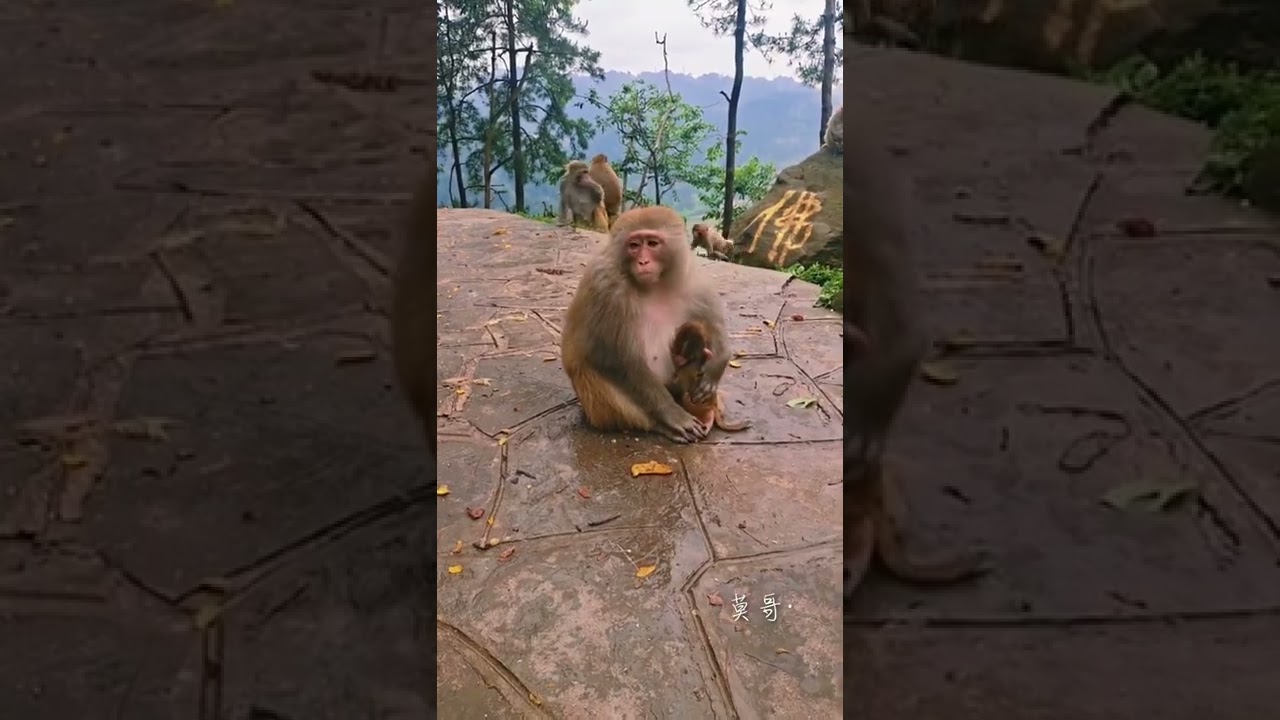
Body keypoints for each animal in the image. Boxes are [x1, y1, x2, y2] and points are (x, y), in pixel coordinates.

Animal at [560, 206, 730, 443]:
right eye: (634, 246)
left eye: (652, 243)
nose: (643, 262)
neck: (655, 284)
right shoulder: (606, 287)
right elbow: (613, 358)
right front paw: (673, 415)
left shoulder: (694, 279)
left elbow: (715, 325)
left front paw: (715, 368)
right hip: (595, 406)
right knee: (598, 372)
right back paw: (661, 425)